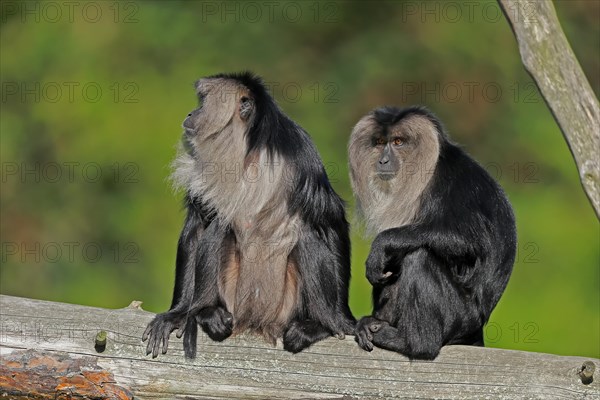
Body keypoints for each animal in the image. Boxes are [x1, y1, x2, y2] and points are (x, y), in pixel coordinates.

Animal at [142, 72, 354, 360]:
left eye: (203, 102)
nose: (191, 112)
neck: (244, 156)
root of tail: (256, 320)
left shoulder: (299, 153)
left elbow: (330, 221)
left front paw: (342, 320)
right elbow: (198, 226)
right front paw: (178, 313)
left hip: (287, 306)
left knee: (308, 234)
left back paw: (316, 326)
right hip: (233, 298)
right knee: (220, 226)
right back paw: (208, 313)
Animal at [352, 105, 516, 360]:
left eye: (398, 142)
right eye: (379, 142)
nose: (383, 160)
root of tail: (477, 327)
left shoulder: (453, 185)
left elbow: (470, 241)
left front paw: (381, 243)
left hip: (461, 317)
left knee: (420, 256)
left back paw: (414, 343)